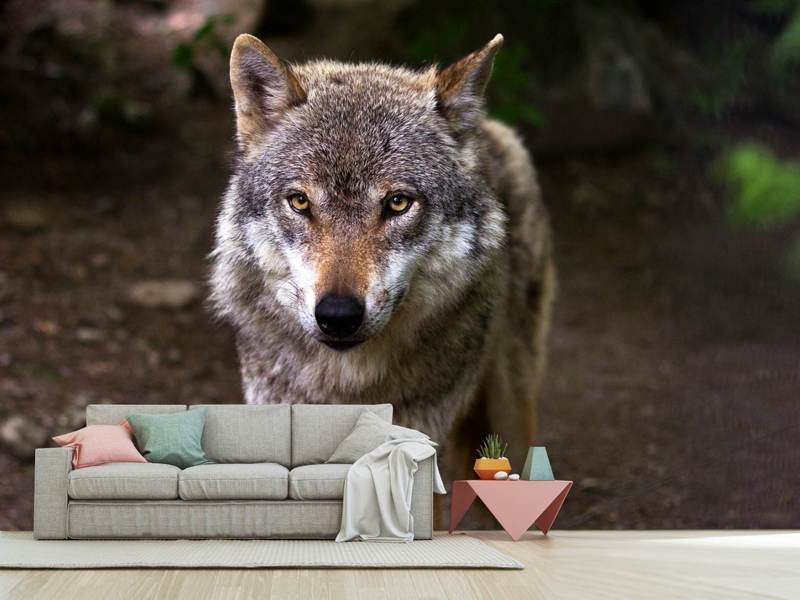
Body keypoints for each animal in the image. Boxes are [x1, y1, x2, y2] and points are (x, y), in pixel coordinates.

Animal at [209, 32, 552, 524]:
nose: (337, 315)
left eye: (397, 203)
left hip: (512, 404)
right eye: (299, 201)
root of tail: (487, 129)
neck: (351, 384)